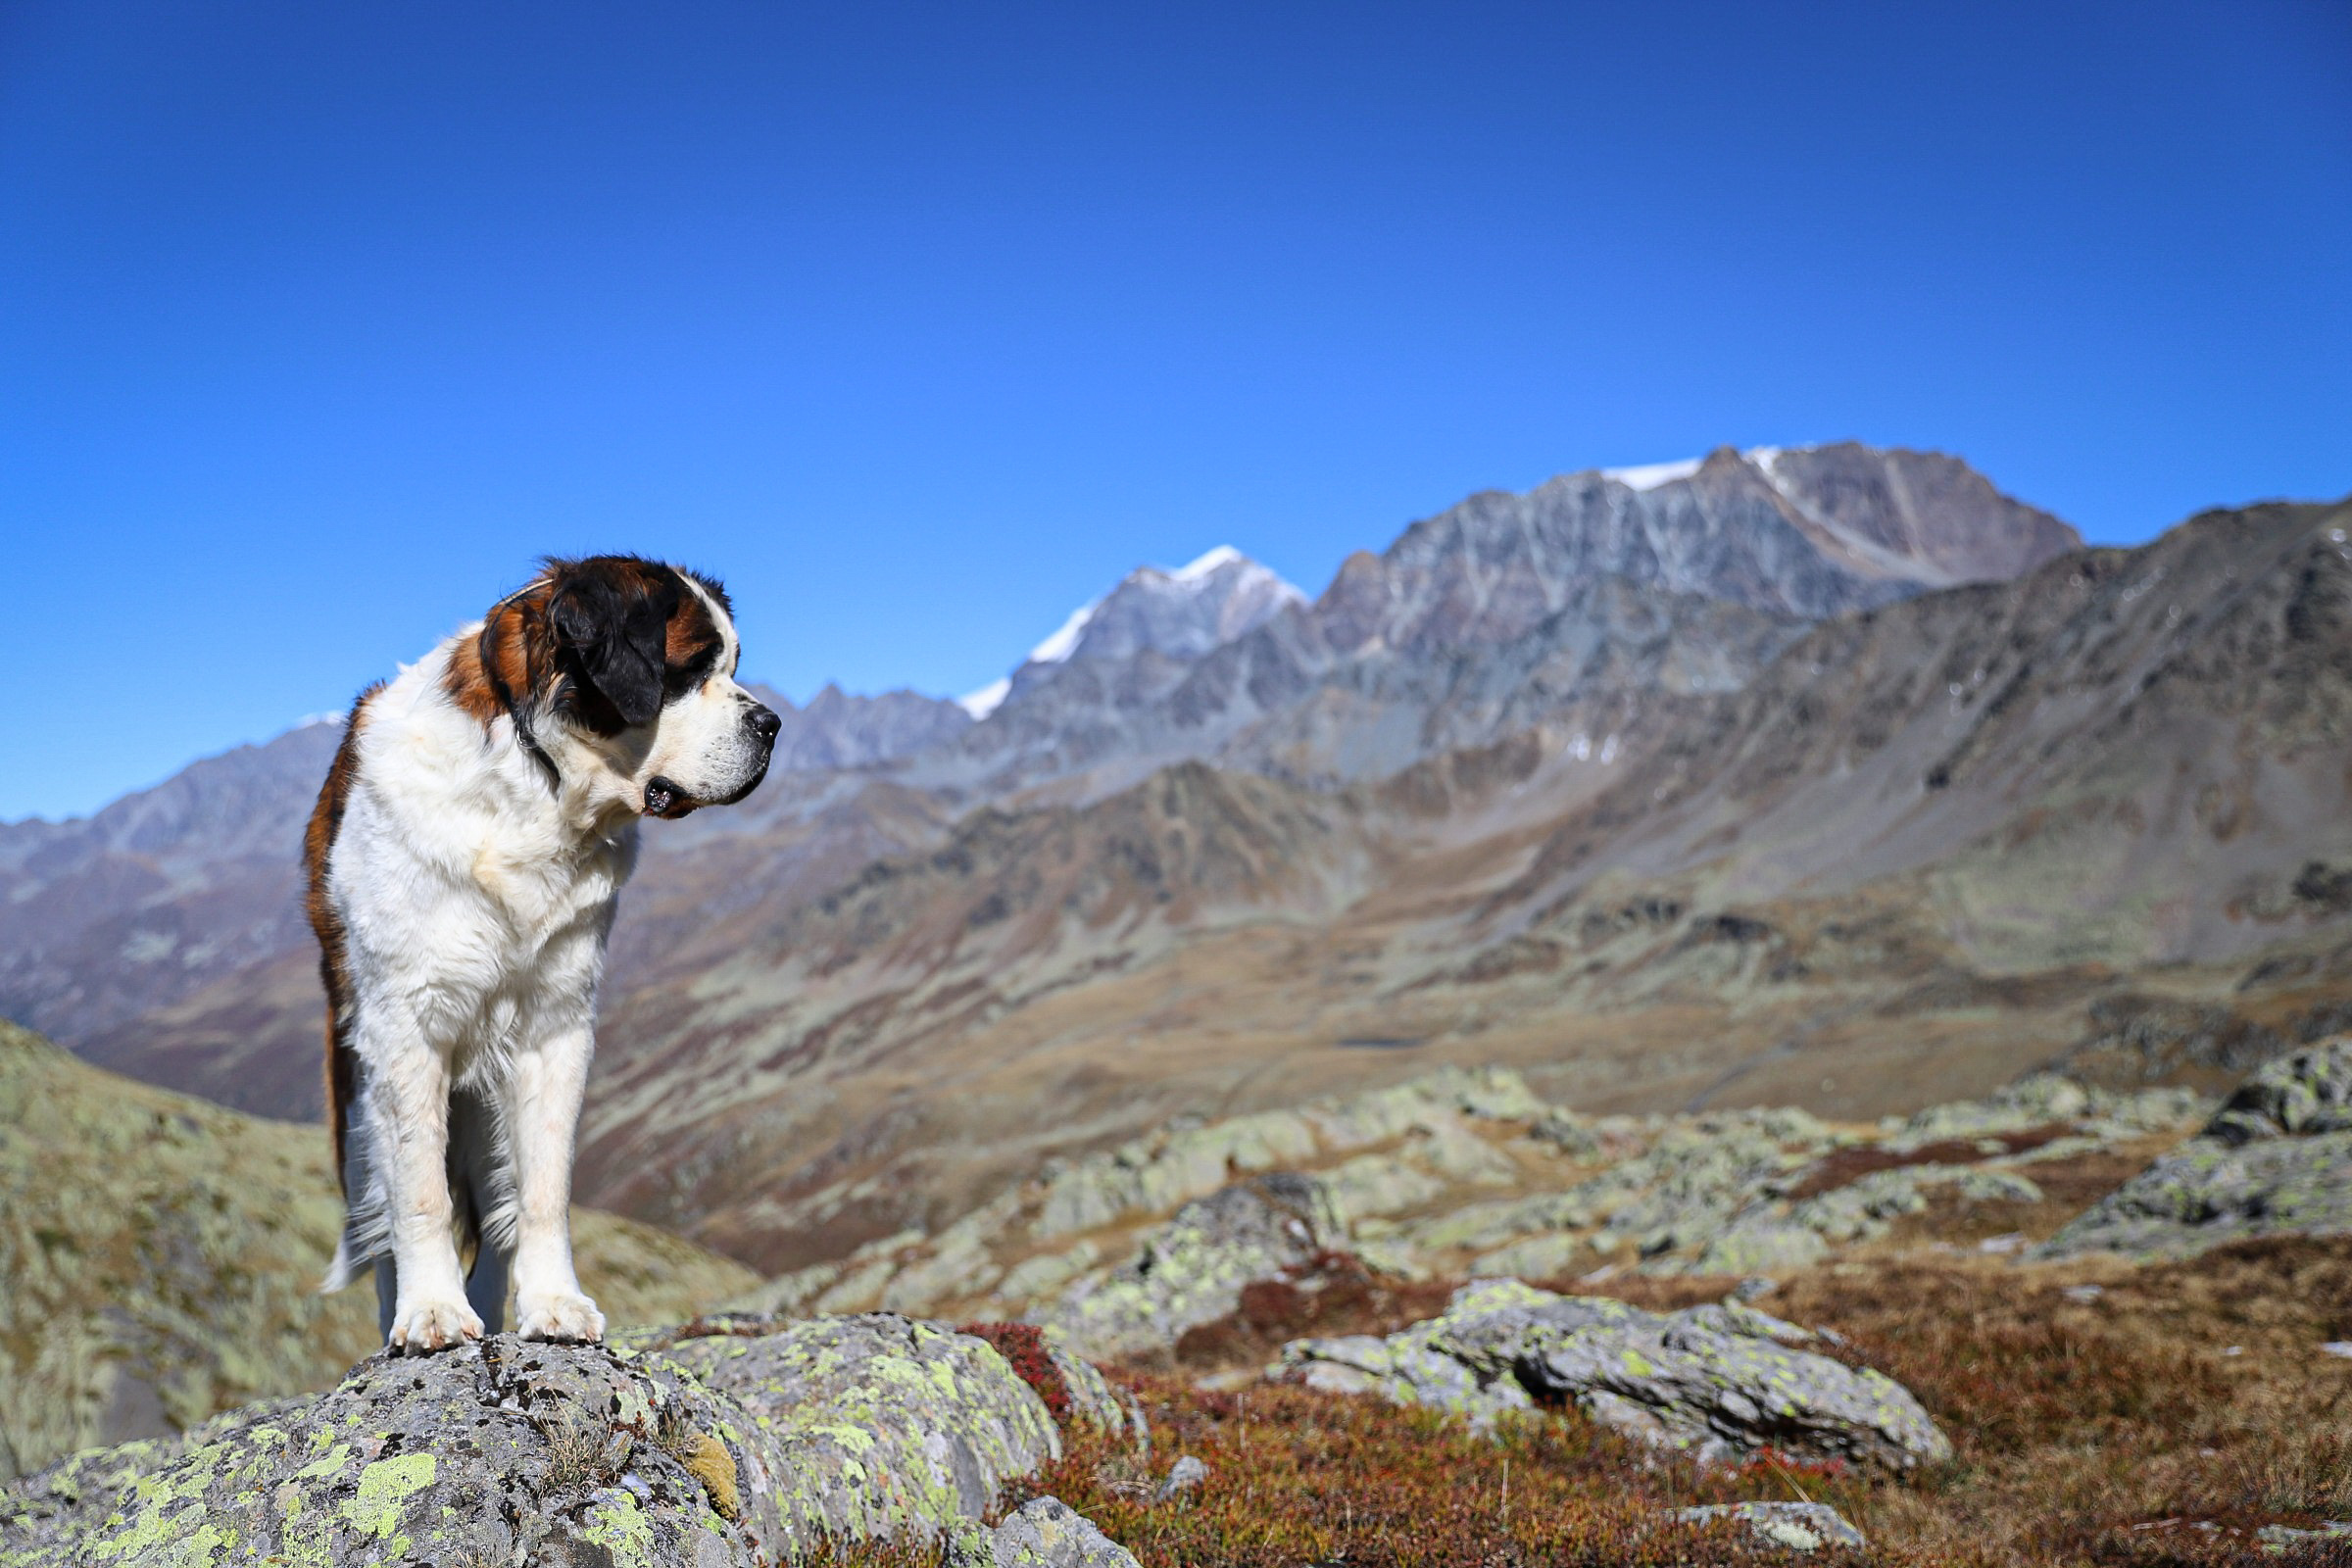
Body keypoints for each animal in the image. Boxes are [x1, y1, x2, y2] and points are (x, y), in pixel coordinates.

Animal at [298, 557, 780, 1353]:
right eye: (689, 668)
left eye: (734, 668)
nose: (772, 724)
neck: (535, 787)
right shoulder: (402, 1030)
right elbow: (418, 1191)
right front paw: (430, 1313)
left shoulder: (556, 1025)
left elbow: (544, 1188)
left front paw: (555, 1303)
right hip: (357, 1101)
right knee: (382, 1212)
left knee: (500, 1211)